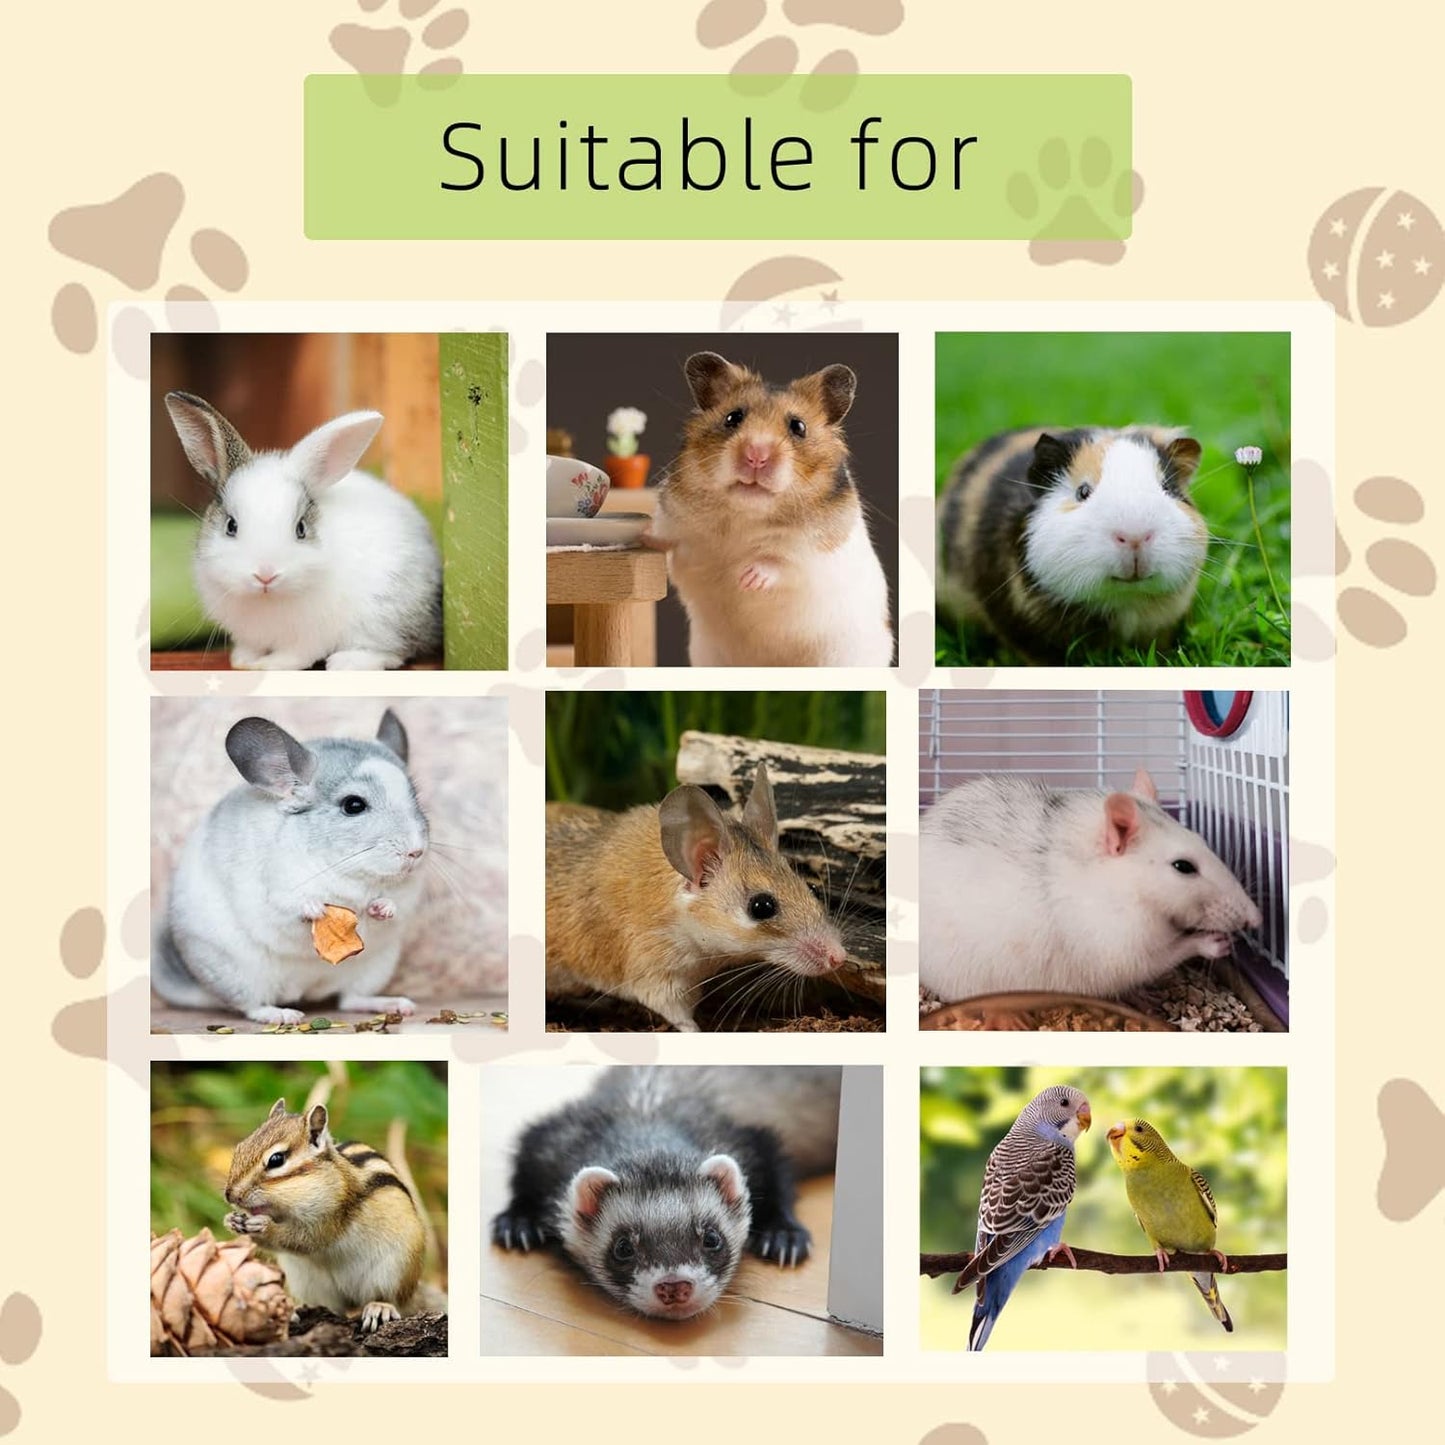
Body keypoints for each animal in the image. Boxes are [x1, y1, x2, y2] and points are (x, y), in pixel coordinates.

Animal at [152, 709, 429, 1024]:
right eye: (354, 805)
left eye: (415, 799)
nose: (416, 851)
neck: (347, 873)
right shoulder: (274, 891)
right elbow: (289, 907)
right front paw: (314, 908)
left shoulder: (407, 895)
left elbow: (395, 905)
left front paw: (383, 907)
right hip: (236, 973)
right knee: (250, 1006)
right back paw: (282, 1015)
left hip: (375, 968)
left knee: (350, 999)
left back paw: (395, 1004)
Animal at [163, 392, 442, 671]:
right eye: (231, 526)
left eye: (301, 529)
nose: (266, 575)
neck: (267, 599)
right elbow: (251, 647)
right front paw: (242, 661)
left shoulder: (309, 638)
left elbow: (295, 656)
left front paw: (267, 665)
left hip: (384, 615)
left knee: (392, 650)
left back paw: (345, 662)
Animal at [491, 1066, 842, 1320]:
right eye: (622, 1247)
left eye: (712, 1238)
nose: (674, 1287)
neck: (648, 1112)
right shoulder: (551, 1137)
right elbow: (523, 1171)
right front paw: (518, 1224)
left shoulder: (752, 1141)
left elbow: (779, 1176)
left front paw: (783, 1236)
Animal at [649, 352, 894, 667]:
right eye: (733, 417)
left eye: (798, 426)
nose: (756, 455)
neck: (746, 513)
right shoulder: (672, 522)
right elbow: (670, 546)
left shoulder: (815, 553)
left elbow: (780, 561)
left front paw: (746, 578)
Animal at [919, 769, 1261, 1001]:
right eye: (1183, 867)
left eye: (1204, 841)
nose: (1256, 919)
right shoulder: (1121, 943)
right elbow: (1161, 957)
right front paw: (1212, 943)